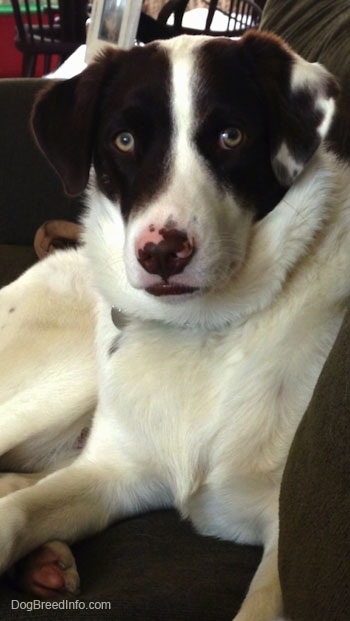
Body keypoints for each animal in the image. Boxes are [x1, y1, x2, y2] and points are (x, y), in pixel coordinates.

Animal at [0, 32, 350, 620]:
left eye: (231, 136)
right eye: (123, 140)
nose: (163, 252)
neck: (203, 331)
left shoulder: (284, 539)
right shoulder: (113, 471)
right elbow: (15, 513)